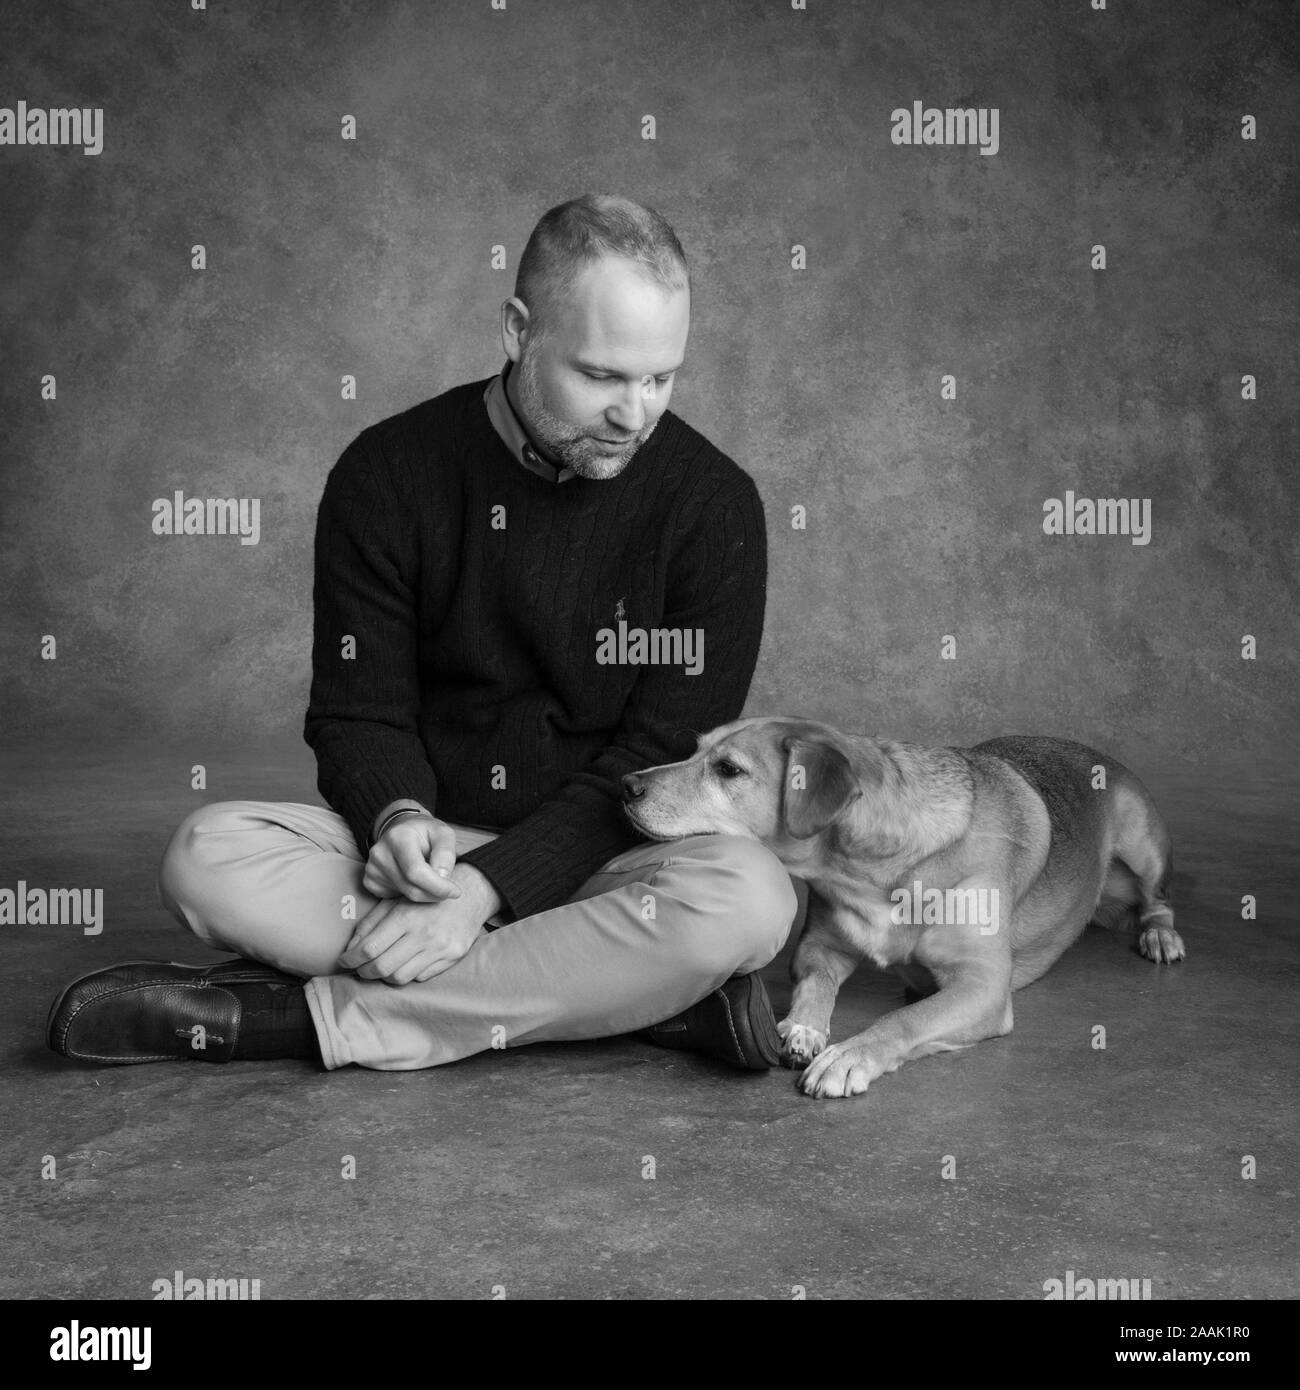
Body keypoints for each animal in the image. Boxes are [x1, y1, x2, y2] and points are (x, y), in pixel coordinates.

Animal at [625, 717, 1184, 1095]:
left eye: (728, 770)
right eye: (695, 751)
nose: (627, 784)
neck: (877, 871)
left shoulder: (982, 987)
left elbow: (906, 1021)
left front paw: (848, 1055)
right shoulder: (819, 949)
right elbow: (814, 987)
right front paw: (804, 1028)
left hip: (1141, 845)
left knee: (1158, 900)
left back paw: (1159, 934)